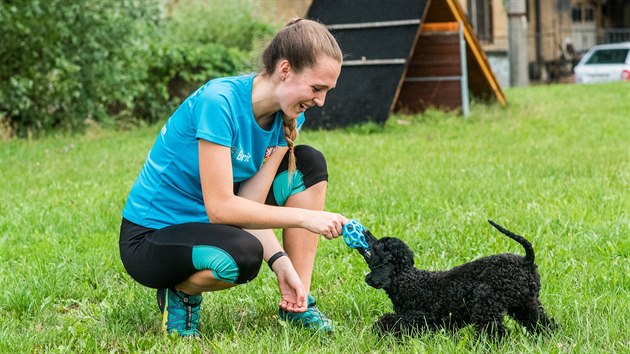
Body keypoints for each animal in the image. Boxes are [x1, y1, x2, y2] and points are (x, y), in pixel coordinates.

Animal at [358, 220, 560, 338]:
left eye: (377, 245)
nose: (365, 232)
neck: (406, 279)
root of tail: (526, 260)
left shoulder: (417, 317)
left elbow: (390, 322)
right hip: (526, 303)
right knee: (543, 323)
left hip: (485, 303)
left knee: (494, 332)